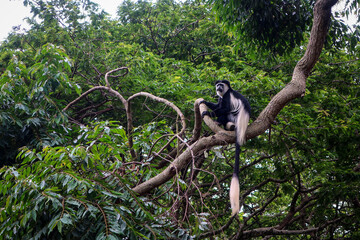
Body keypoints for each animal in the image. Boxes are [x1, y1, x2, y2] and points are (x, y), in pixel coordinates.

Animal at [200, 80, 250, 216]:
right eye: (217, 85)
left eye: (221, 85)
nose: (218, 87)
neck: (226, 91)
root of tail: (241, 127)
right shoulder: (220, 97)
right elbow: (218, 104)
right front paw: (205, 102)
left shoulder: (227, 97)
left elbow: (225, 108)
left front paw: (208, 113)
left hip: (233, 118)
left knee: (226, 112)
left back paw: (220, 123)